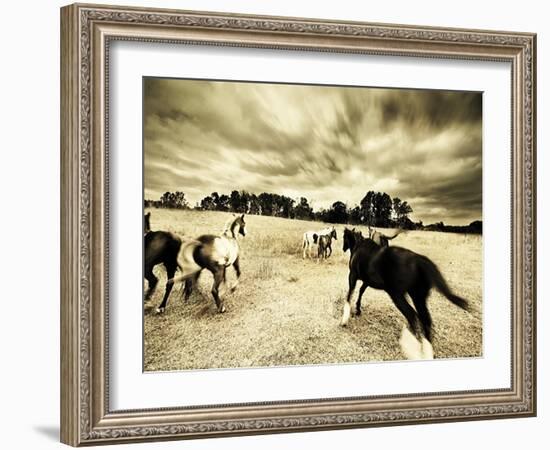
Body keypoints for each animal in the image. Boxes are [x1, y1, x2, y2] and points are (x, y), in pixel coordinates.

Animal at [340, 229, 470, 358]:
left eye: (344, 237)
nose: (343, 248)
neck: (359, 246)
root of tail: (420, 260)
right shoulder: (366, 281)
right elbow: (361, 291)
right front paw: (358, 309)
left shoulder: (353, 275)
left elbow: (350, 294)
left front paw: (344, 319)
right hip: (418, 297)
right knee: (425, 320)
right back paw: (426, 352)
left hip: (397, 295)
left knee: (412, 315)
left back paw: (412, 348)